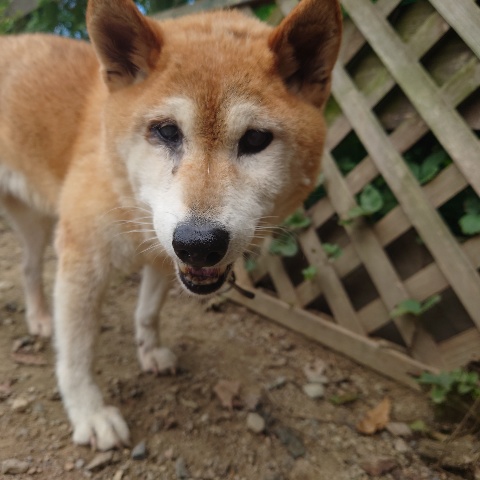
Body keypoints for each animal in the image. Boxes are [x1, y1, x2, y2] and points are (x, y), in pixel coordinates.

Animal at [0, 0, 342, 450]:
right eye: (165, 131)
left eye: (255, 140)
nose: (199, 243)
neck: (128, 200)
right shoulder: (83, 260)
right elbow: (77, 354)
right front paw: (89, 413)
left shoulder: (165, 256)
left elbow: (148, 313)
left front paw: (148, 351)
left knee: (27, 266)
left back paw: (39, 317)